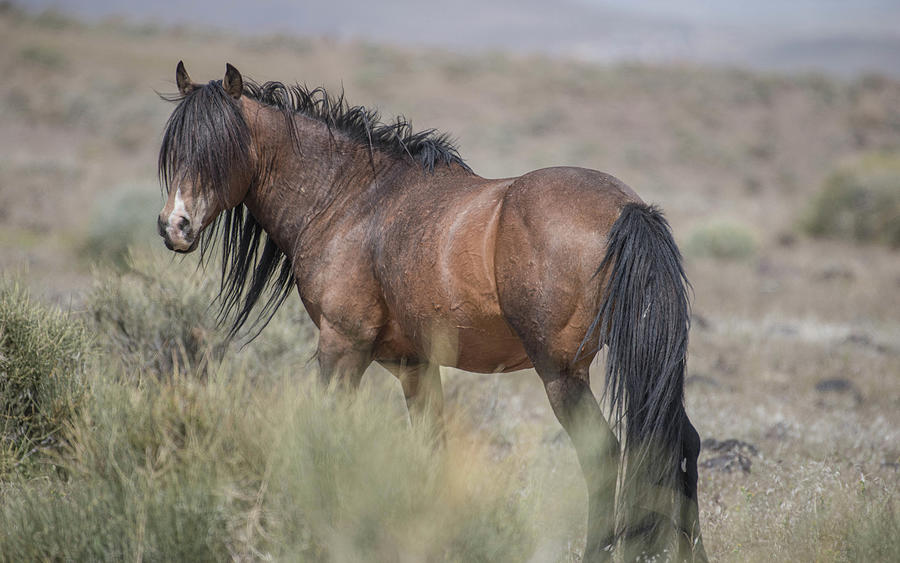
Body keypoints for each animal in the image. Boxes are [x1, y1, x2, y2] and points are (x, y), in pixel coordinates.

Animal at [160, 61, 712, 563]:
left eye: (218, 148)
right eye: (175, 150)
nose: (174, 227)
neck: (348, 201)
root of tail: (628, 210)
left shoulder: (341, 348)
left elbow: (327, 438)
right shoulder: (414, 366)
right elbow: (431, 453)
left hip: (562, 374)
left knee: (604, 456)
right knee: (682, 443)